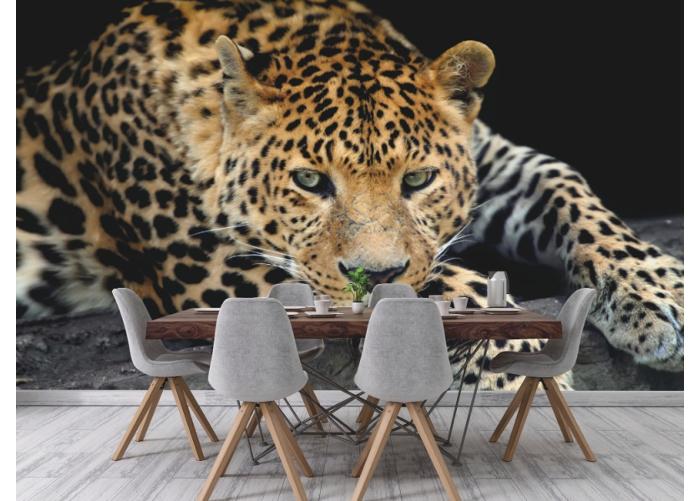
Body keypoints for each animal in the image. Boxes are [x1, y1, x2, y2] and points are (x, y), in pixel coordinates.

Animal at [16, 0, 683, 390]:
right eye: (311, 181)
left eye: (417, 180)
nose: (375, 271)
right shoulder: (205, 260)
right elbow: (420, 285)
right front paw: (506, 348)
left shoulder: (491, 164)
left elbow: (567, 185)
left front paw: (663, 295)